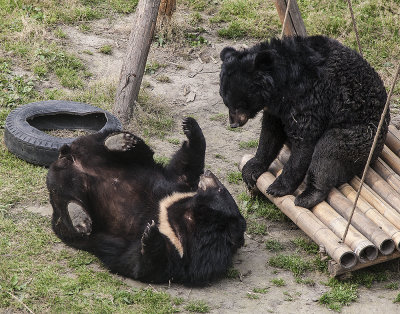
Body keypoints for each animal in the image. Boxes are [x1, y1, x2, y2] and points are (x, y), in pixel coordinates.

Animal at [47, 118, 247, 284]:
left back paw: (78, 216)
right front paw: (190, 126)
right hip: (90, 148)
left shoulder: (188, 255)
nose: (209, 173)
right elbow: (184, 167)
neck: (188, 214)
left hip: (65, 203)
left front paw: (150, 234)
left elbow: (143, 264)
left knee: (65, 198)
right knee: (128, 149)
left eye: (221, 189)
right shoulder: (177, 187)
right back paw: (120, 142)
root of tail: (69, 157)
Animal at [220, 35, 390, 209]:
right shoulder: (277, 111)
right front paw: (251, 169)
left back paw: (308, 196)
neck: (282, 86)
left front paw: (278, 187)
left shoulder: (309, 100)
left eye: (240, 104)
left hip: (360, 137)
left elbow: (304, 141)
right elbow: (270, 134)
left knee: (328, 150)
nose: (233, 123)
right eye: (226, 101)